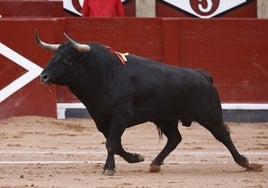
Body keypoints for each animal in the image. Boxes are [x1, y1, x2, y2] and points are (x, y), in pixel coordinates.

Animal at [34, 30, 260, 175]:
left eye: (68, 58)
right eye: (54, 55)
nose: (44, 77)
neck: (104, 74)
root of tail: (202, 75)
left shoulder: (120, 116)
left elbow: (111, 143)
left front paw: (109, 168)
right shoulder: (102, 120)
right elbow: (115, 143)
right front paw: (136, 158)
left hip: (209, 115)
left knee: (223, 135)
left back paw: (245, 162)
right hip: (167, 119)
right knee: (175, 138)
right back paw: (155, 163)